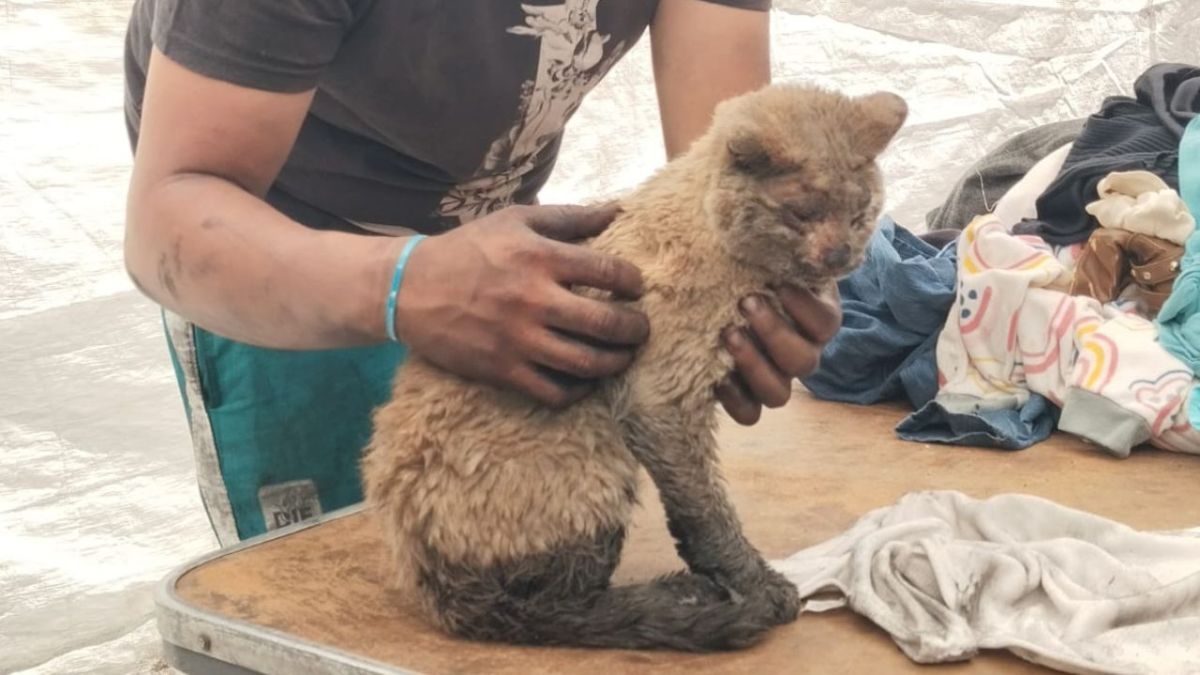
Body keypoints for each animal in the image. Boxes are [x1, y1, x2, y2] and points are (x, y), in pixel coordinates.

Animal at [360, 81, 902, 648]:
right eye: (802, 214)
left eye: (861, 213)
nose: (841, 255)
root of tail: (435, 592)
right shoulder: (660, 396)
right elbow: (706, 508)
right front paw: (757, 585)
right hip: (593, 454)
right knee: (547, 610)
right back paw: (682, 599)